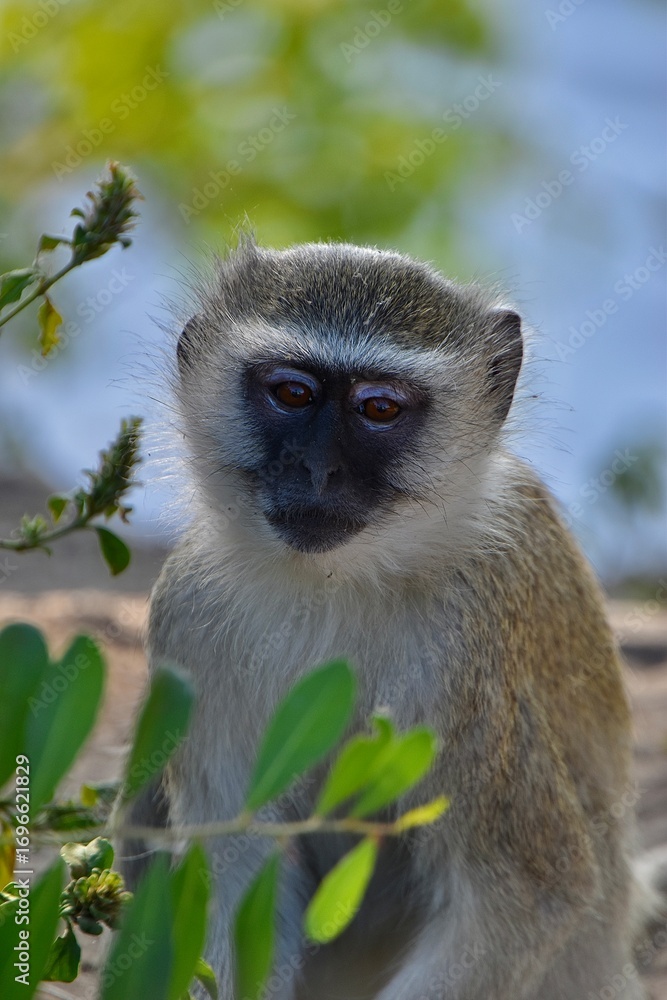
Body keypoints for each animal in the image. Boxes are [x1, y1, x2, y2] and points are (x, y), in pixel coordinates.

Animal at [128, 238, 654, 999]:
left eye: (378, 408)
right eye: (293, 394)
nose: (317, 471)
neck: (341, 583)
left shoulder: (472, 645)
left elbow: (529, 892)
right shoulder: (190, 617)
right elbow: (234, 860)